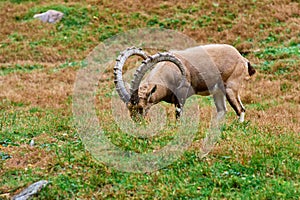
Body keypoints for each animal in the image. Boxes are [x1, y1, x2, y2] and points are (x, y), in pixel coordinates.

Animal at [113, 44, 254, 122]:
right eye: (129, 108)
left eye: (141, 107)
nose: (138, 123)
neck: (168, 71)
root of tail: (242, 58)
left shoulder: (181, 95)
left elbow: (178, 114)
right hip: (218, 92)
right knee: (222, 110)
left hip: (231, 88)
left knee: (240, 109)